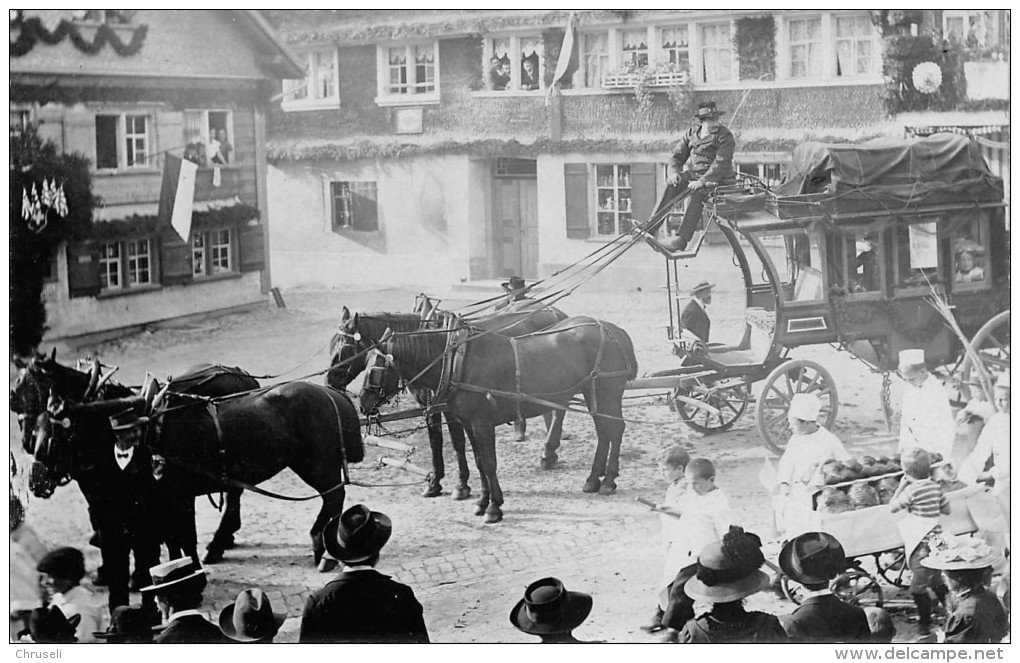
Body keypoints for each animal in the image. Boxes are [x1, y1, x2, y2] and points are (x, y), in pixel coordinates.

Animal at [11, 350, 257, 563]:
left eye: (35, 390)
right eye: (16, 397)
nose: (27, 443)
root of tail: (240, 373)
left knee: (234, 494)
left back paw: (219, 542)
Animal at [361, 314, 636, 522]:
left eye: (374, 370)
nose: (363, 404)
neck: (458, 361)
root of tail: (614, 331)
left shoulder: (482, 423)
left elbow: (489, 463)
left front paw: (493, 508)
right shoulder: (468, 422)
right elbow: (480, 461)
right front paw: (483, 501)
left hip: (608, 392)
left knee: (615, 430)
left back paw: (608, 480)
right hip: (593, 394)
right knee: (604, 432)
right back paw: (593, 479)